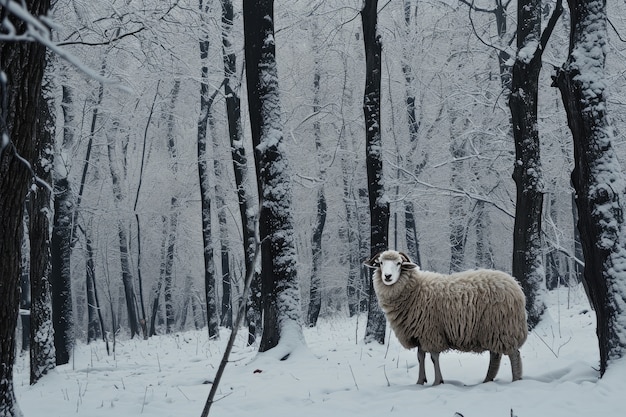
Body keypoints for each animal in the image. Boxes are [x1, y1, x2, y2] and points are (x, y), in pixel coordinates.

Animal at [364, 249, 524, 386]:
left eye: (398, 263)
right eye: (381, 263)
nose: (387, 276)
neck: (415, 290)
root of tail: (515, 285)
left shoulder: (431, 332)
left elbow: (434, 357)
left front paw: (437, 382)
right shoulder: (419, 333)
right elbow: (420, 357)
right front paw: (420, 381)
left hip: (502, 327)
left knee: (513, 354)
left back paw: (516, 380)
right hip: (492, 330)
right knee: (495, 355)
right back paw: (487, 380)